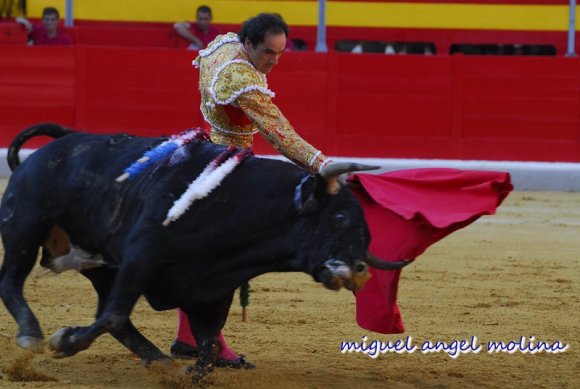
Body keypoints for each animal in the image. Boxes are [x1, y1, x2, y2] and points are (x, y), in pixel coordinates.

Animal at [0, 123, 408, 376]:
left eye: (366, 229)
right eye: (339, 218)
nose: (360, 271)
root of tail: (59, 141)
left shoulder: (209, 287)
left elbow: (208, 348)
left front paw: (189, 370)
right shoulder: (141, 256)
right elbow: (117, 314)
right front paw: (65, 340)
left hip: (98, 263)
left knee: (110, 313)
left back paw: (159, 361)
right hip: (24, 226)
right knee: (12, 281)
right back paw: (32, 335)